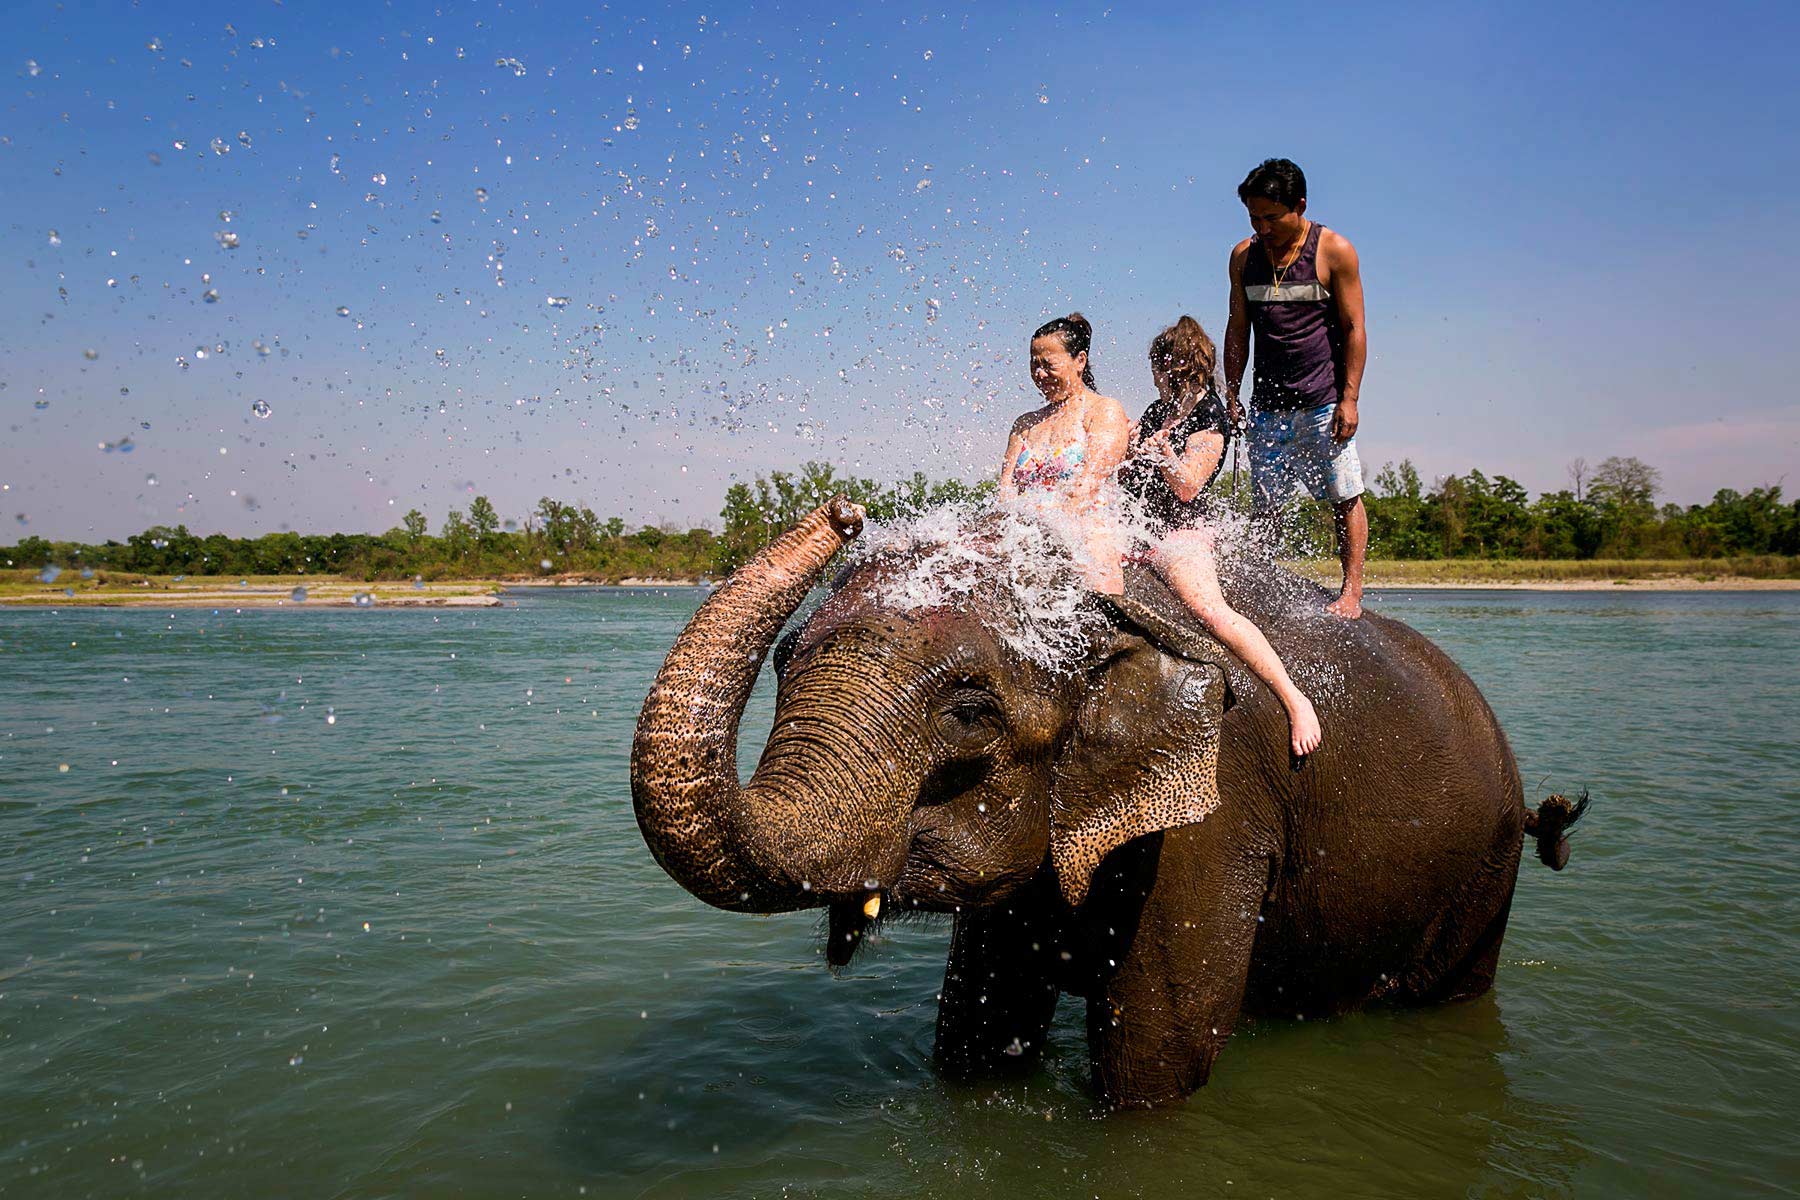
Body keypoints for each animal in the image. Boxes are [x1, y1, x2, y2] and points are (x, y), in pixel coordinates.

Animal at [626, 496, 1584, 1108]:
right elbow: (975, 1031)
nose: (843, 511)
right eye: (785, 662)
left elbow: (1158, 1055)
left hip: (1483, 877)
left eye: (968, 711)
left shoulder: (1214, 815)